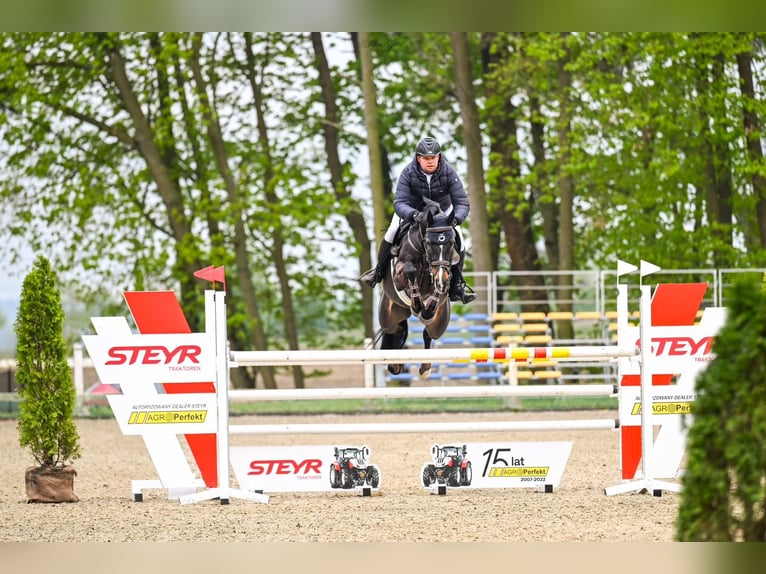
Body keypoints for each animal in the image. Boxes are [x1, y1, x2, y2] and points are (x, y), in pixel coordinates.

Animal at [376, 198, 460, 382]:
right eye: (429, 243)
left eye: (451, 243)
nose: (441, 276)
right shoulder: (399, 276)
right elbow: (410, 270)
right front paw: (417, 304)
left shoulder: (445, 275)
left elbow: (439, 288)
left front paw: (426, 308)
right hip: (388, 317)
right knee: (396, 329)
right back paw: (395, 363)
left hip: (439, 324)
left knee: (428, 334)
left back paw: (425, 368)